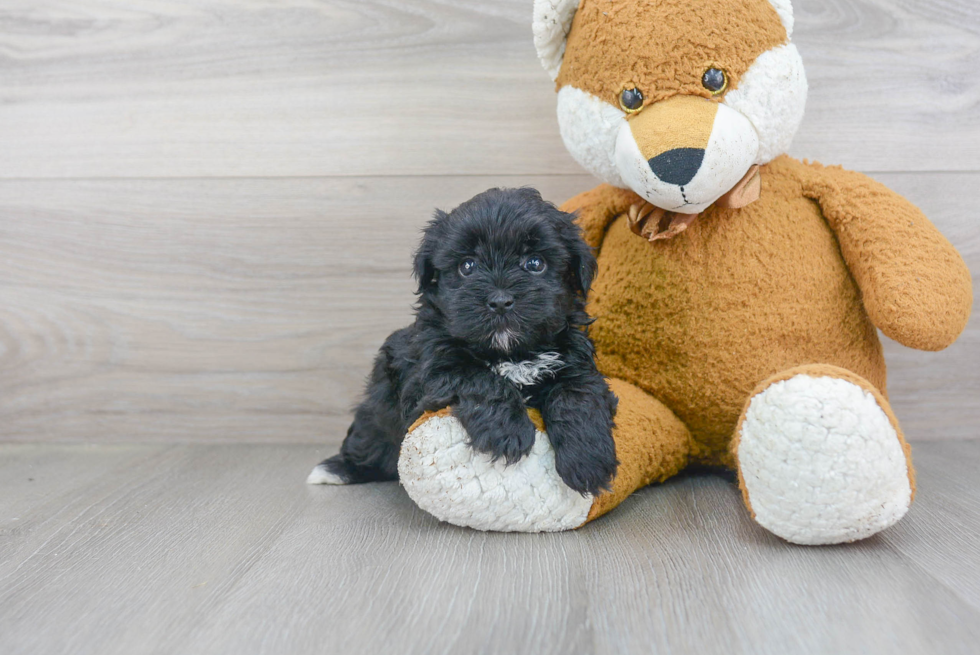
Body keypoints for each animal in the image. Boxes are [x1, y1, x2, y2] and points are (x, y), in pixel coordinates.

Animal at [306, 187, 616, 494]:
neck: (510, 352)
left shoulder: (574, 360)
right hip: (377, 411)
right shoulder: (432, 370)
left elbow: (577, 395)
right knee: (367, 440)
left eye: (535, 263)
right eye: (467, 266)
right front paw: (507, 433)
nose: (500, 301)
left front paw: (588, 461)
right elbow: (481, 379)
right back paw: (337, 469)